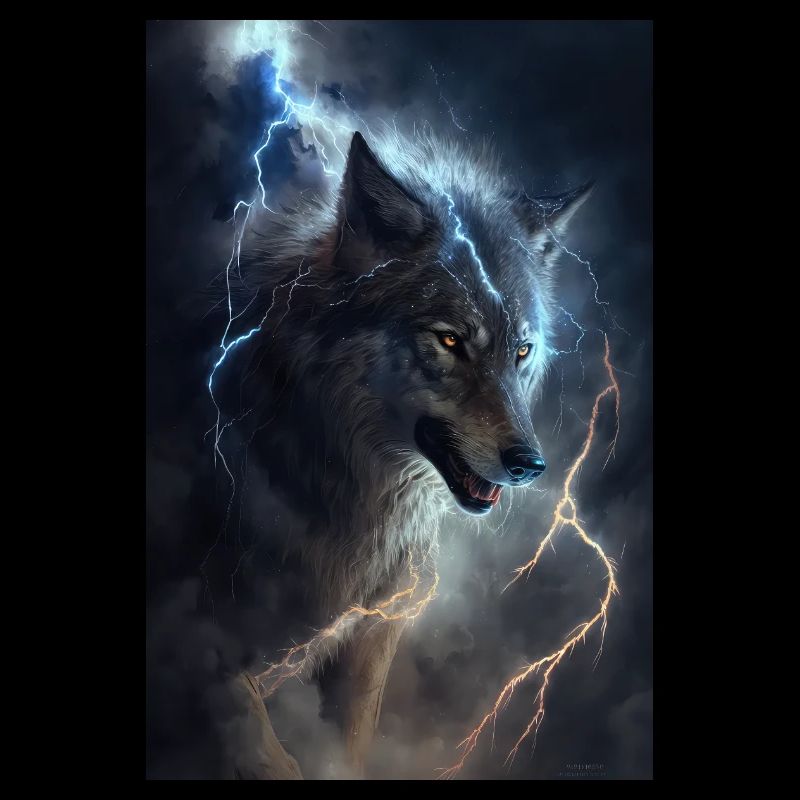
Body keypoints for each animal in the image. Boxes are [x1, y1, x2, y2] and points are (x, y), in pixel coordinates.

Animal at [212, 130, 592, 779]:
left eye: (521, 351)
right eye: (450, 340)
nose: (529, 464)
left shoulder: (368, 634)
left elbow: (347, 745)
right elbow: (266, 751)